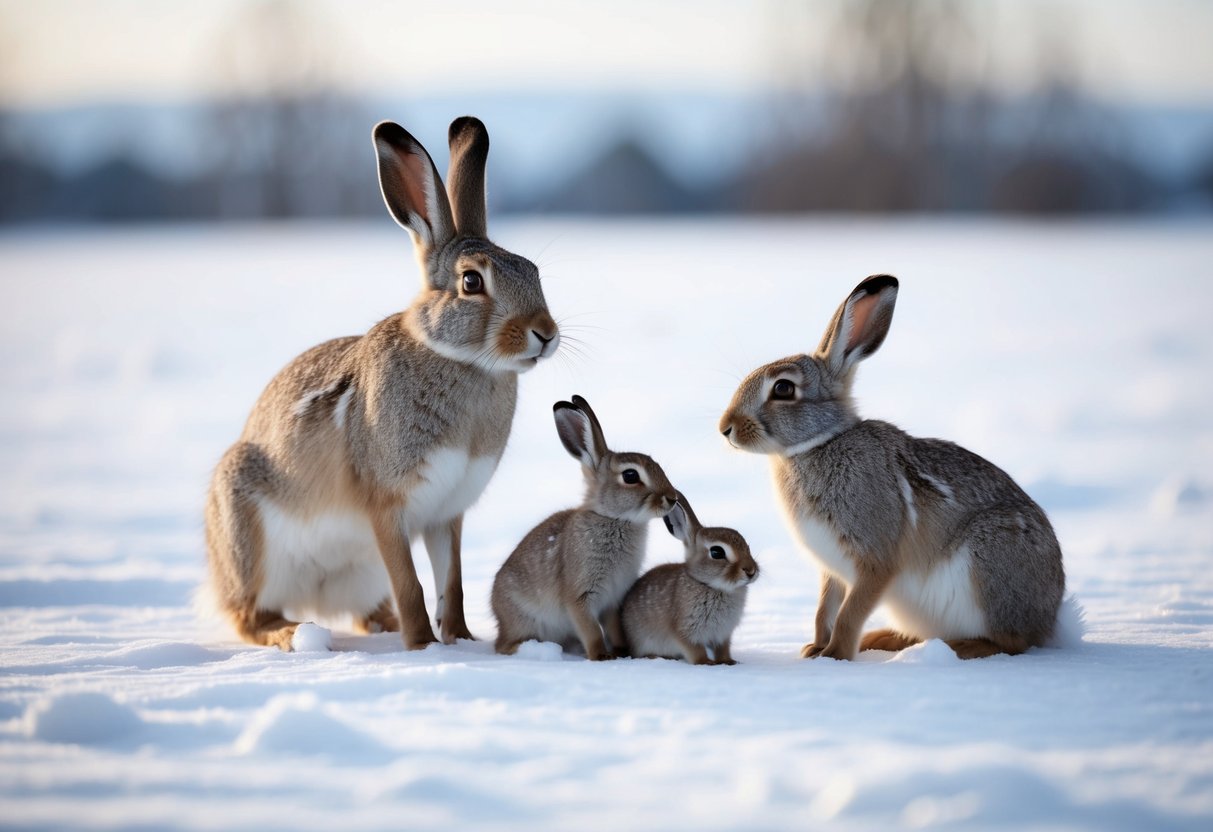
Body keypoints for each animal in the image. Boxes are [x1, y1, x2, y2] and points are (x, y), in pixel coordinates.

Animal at [204, 117, 561, 651]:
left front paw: (461, 639)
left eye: (534, 272)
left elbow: (451, 581)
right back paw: (293, 634)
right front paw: (425, 647)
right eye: (471, 282)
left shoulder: (445, 515)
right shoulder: (386, 506)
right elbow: (411, 583)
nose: (546, 332)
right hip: (250, 537)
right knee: (249, 615)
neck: (461, 361)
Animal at [492, 395, 679, 661]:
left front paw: (621, 652)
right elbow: (590, 629)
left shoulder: (613, 599)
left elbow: (612, 627)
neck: (614, 518)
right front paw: (601, 656)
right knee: (503, 646)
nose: (672, 498)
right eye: (631, 476)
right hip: (523, 618)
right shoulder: (580, 596)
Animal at [621, 494, 758, 665]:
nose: (751, 571)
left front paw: (729, 662)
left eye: (748, 547)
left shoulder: (722, 635)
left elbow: (723, 650)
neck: (711, 585)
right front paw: (706, 663)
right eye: (717, 552)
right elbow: (694, 650)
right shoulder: (685, 630)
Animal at [719, 275, 1065, 661]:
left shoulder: (874, 559)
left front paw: (835, 655)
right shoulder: (832, 568)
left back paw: (958, 646)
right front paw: (814, 650)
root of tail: (1051, 615)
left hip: (989, 563)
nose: (726, 428)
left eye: (782, 388)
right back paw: (886, 639)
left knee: (1013, 642)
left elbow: (849, 613)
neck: (819, 443)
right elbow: (825, 608)